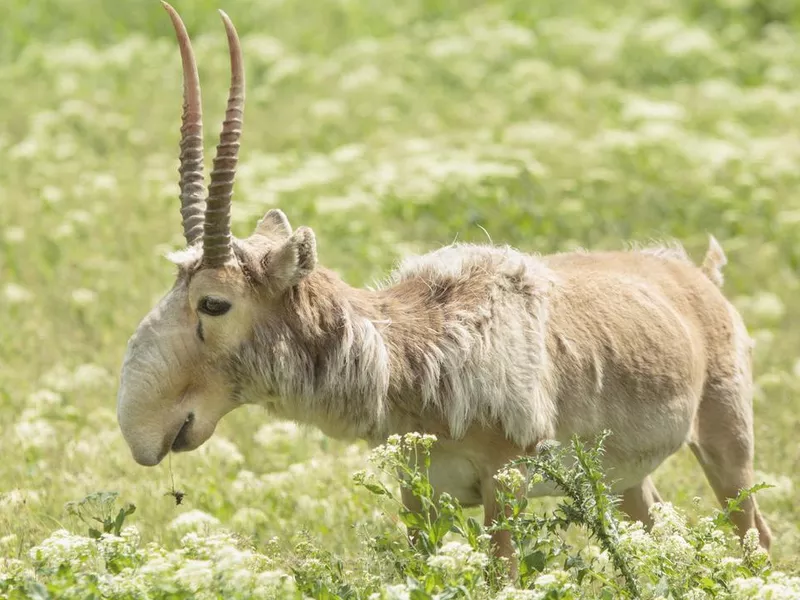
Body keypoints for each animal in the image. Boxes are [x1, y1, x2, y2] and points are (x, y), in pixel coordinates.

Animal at [115, 2, 772, 568]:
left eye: (213, 302)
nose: (141, 431)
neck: (418, 344)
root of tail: (695, 276)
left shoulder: (503, 487)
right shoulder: (419, 492)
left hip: (727, 445)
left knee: (755, 535)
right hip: (629, 479)